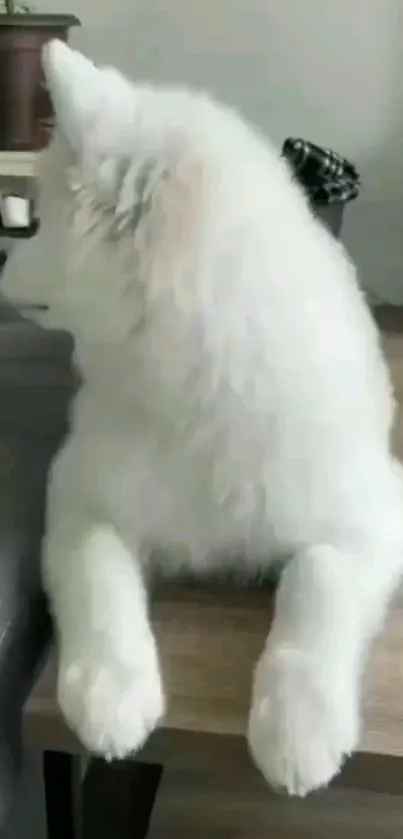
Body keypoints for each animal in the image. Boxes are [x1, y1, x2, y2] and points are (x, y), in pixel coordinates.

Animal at [3, 39, 403, 796]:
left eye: (40, 220)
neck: (191, 391)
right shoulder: (77, 496)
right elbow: (99, 577)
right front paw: (108, 691)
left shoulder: (373, 518)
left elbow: (316, 586)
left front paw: (297, 726)